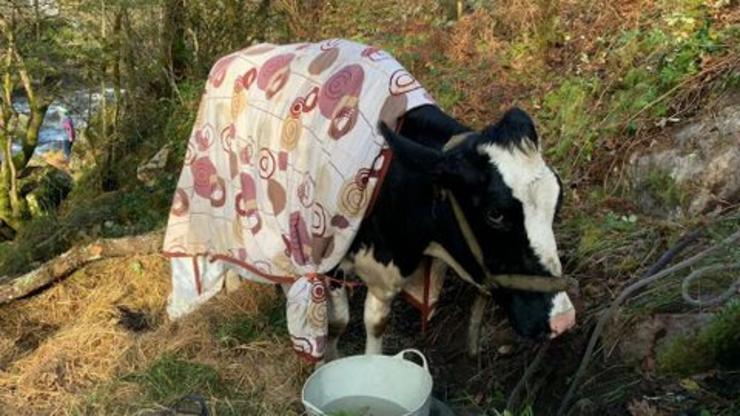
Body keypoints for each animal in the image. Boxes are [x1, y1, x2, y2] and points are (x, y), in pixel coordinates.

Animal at [320, 105, 576, 360]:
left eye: (558, 200)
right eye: (495, 214)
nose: (563, 319)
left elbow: (376, 323)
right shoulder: (328, 259)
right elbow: (337, 322)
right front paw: (329, 360)